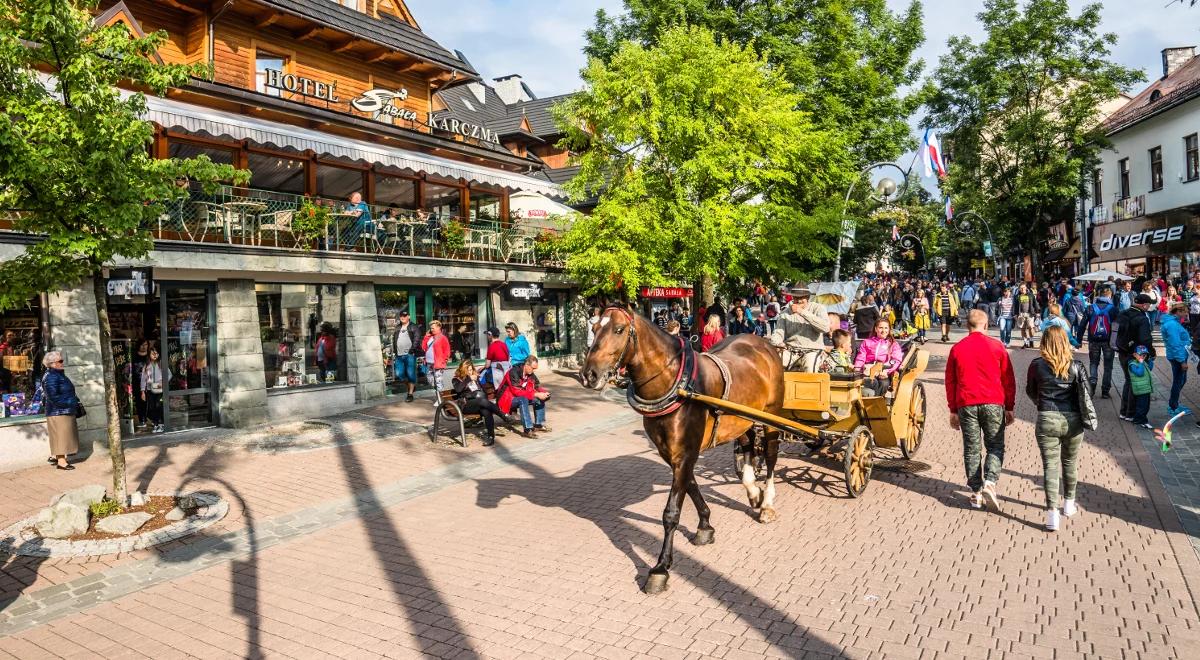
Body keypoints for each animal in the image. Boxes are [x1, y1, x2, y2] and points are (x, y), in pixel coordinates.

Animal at [576, 304, 782, 595]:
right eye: (593, 328)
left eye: (618, 329)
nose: (589, 375)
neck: (676, 384)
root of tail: (762, 342)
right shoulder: (673, 452)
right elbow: (692, 485)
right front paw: (705, 525)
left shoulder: (685, 453)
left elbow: (672, 511)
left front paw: (660, 567)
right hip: (742, 417)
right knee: (748, 444)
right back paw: (753, 490)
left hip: (772, 414)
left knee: (772, 453)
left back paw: (767, 504)